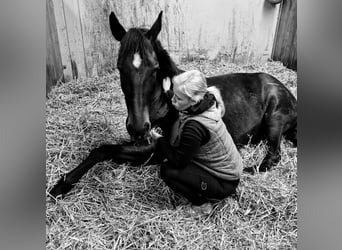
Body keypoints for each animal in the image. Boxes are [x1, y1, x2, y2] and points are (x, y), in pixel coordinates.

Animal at [48, 10, 296, 198]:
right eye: (119, 67)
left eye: (155, 68)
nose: (138, 127)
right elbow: (104, 150)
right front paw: (62, 184)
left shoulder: (158, 150)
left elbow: (106, 150)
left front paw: (62, 185)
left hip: (274, 121)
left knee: (274, 154)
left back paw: (251, 169)